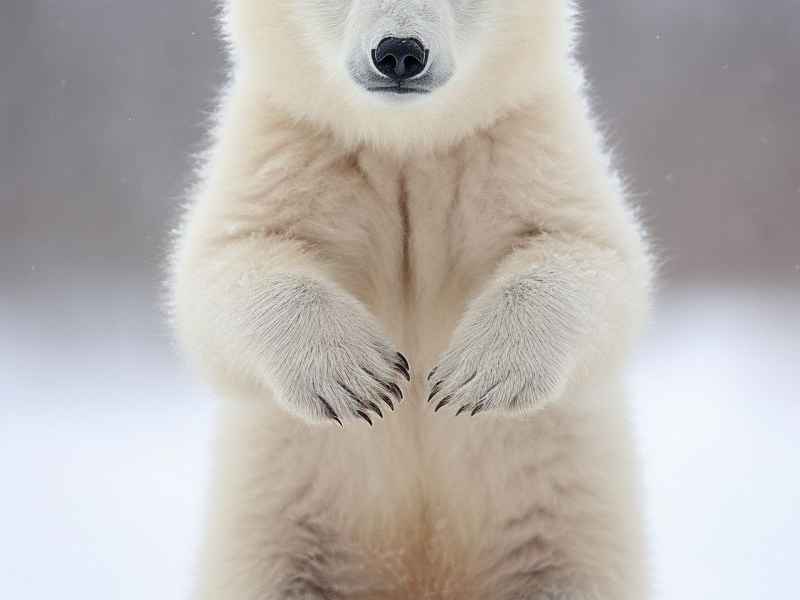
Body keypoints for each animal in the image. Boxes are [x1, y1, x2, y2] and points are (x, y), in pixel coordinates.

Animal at [170, 1, 653, 599]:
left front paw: (474, 377)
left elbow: (594, 255)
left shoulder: (522, 141)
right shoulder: (288, 145)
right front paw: (360, 379)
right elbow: (222, 265)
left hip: (565, 532)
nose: (400, 52)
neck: (406, 146)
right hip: (277, 535)